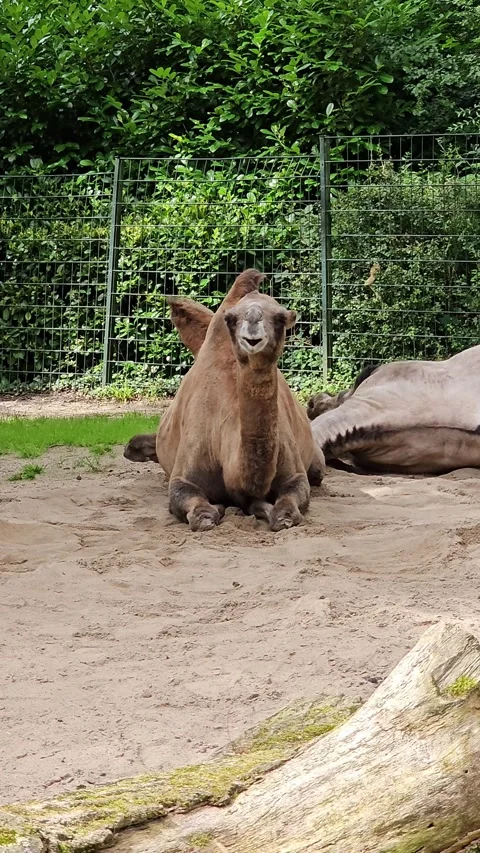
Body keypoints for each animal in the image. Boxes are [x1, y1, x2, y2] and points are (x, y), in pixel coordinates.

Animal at [125, 270, 325, 530]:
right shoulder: (183, 476)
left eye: (280, 318)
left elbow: (289, 505)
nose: (253, 324)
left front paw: (274, 513)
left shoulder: (295, 475)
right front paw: (215, 511)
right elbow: (199, 513)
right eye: (231, 319)